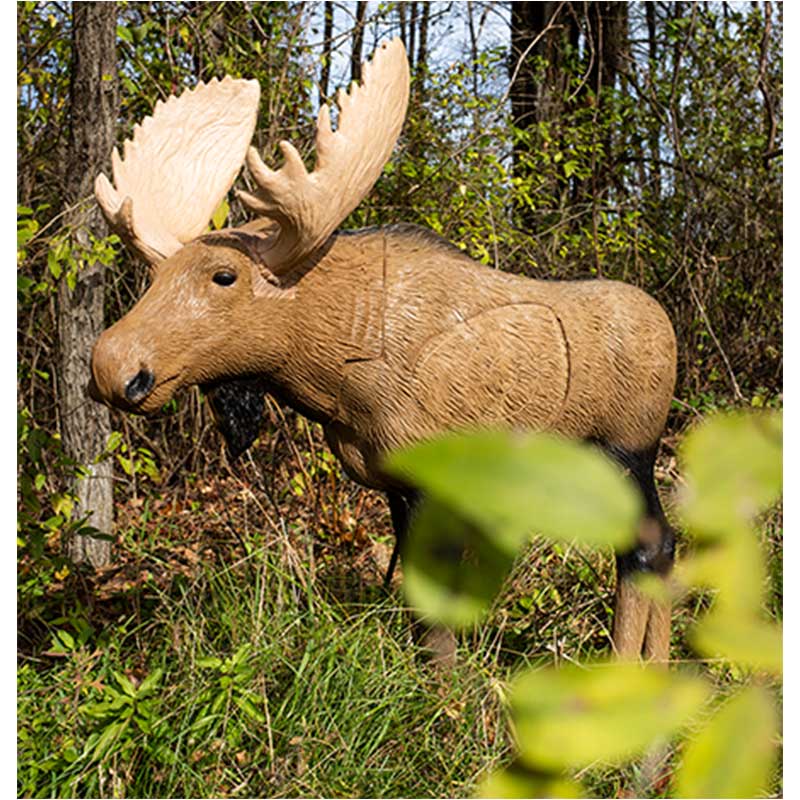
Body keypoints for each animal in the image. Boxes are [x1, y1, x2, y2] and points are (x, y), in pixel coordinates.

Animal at [88, 39, 677, 666]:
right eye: (155, 277)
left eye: (225, 275)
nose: (114, 366)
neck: (333, 378)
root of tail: (667, 328)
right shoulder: (392, 478)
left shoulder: (432, 472)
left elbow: (435, 604)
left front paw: (445, 686)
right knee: (661, 545)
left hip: (626, 450)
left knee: (647, 546)